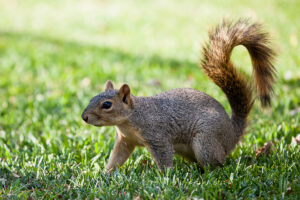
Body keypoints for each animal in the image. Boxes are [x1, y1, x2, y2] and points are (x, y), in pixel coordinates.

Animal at [81, 19, 276, 173]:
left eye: (107, 105)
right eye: (91, 98)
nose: (84, 117)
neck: (130, 119)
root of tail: (232, 133)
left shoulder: (158, 136)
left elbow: (164, 158)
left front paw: (165, 178)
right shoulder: (125, 140)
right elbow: (117, 157)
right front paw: (105, 174)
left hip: (206, 140)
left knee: (218, 163)